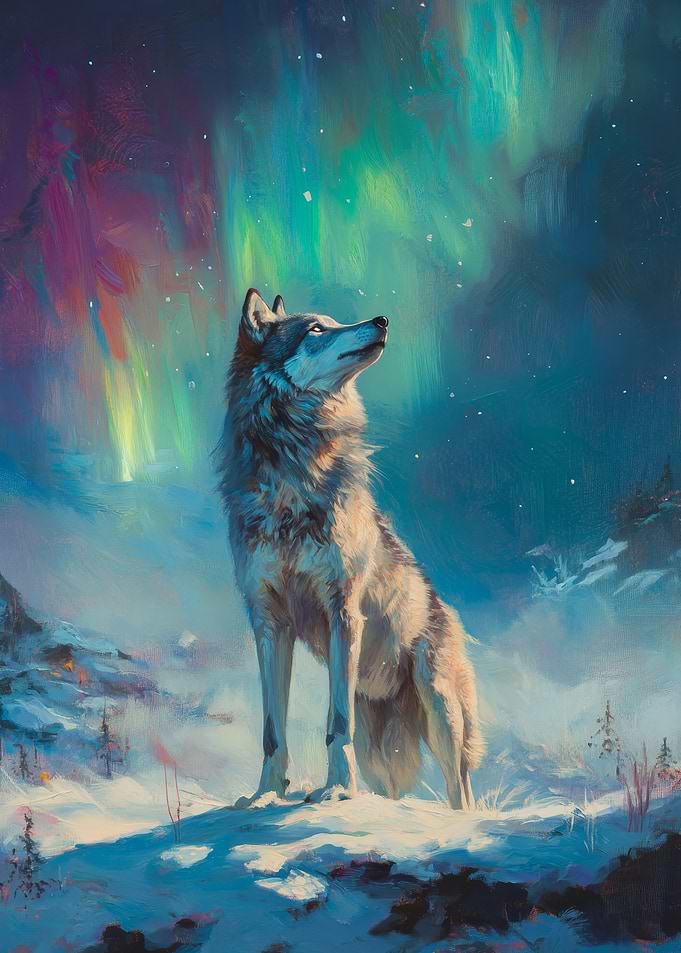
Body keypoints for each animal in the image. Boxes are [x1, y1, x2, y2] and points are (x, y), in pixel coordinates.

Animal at [219, 289, 484, 809]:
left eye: (335, 321)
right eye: (317, 329)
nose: (381, 320)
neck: (293, 474)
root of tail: (447, 610)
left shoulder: (343, 610)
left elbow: (335, 723)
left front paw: (337, 790)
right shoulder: (268, 623)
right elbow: (272, 732)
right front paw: (265, 795)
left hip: (440, 710)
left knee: (458, 787)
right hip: (380, 750)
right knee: (391, 790)